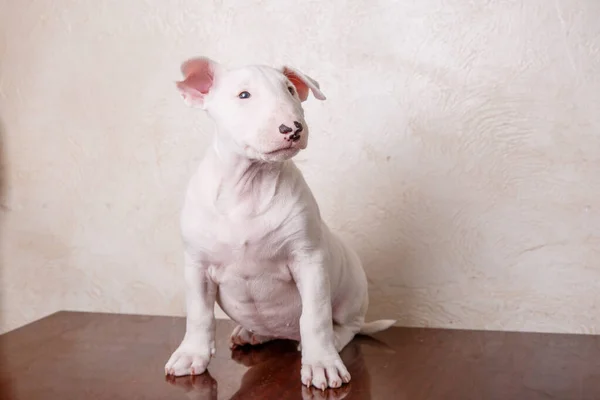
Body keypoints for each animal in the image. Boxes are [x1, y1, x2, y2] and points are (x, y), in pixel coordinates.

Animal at [164, 56, 396, 388]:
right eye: (244, 95)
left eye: (290, 90)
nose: (293, 128)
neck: (248, 185)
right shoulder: (197, 265)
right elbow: (198, 314)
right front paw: (190, 355)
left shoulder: (309, 261)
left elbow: (315, 317)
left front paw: (322, 365)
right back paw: (251, 333)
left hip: (352, 293)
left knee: (347, 326)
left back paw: (332, 341)